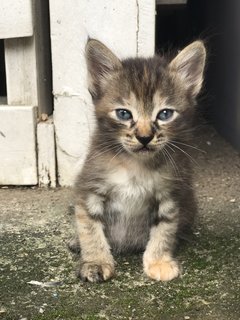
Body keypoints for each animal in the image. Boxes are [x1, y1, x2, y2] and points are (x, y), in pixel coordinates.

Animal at [71, 38, 206, 282]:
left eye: (165, 114)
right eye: (124, 114)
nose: (144, 137)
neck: (135, 165)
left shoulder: (170, 193)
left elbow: (164, 230)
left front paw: (159, 261)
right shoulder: (89, 188)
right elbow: (89, 228)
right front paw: (95, 261)